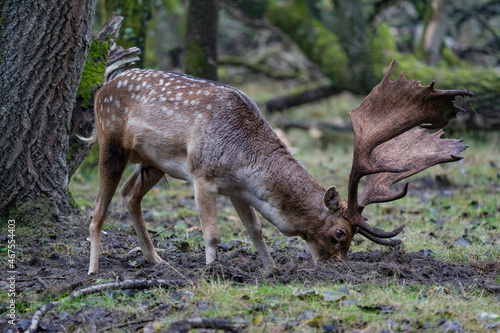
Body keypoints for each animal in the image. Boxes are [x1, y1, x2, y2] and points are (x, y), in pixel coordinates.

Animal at [82, 59, 472, 272]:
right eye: (340, 233)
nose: (338, 267)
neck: (240, 157)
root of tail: (102, 88)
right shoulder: (201, 175)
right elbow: (213, 233)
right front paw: (211, 271)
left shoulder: (237, 189)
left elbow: (255, 229)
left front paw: (272, 270)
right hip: (111, 142)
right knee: (98, 209)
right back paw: (93, 269)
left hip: (153, 161)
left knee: (130, 195)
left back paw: (157, 261)